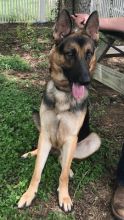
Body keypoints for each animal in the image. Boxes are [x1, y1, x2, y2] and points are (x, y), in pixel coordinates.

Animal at [17, 9, 101, 211]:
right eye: (70, 53)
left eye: (89, 54)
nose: (86, 81)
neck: (64, 94)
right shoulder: (46, 133)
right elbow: (37, 171)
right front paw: (29, 194)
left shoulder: (71, 138)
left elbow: (62, 175)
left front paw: (64, 197)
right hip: (39, 125)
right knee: (48, 153)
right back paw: (32, 153)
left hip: (92, 140)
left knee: (62, 159)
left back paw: (68, 168)